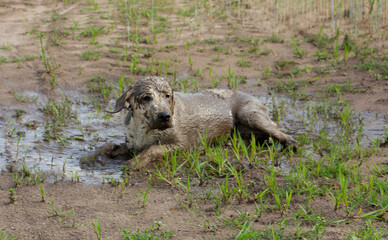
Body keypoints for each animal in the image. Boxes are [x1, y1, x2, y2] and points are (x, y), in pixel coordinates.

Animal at [110, 75, 298, 169]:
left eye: (167, 96)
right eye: (146, 97)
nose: (164, 116)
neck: (142, 130)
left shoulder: (184, 145)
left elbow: (153, 148)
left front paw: (133, 163)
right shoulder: (131, 143)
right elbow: (108, 147)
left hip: (250, 115)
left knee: (280, 133)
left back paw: (291, 143)